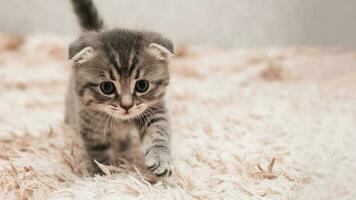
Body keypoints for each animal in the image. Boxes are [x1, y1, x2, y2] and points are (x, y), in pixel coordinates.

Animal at [66, 0, 175, 177]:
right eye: (107, 87)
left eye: (142, 85)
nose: (126, 105)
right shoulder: (91, 126)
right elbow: (98, 153)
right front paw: (104, 173)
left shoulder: (153, 110)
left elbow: (158, 132)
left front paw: (161, 158)